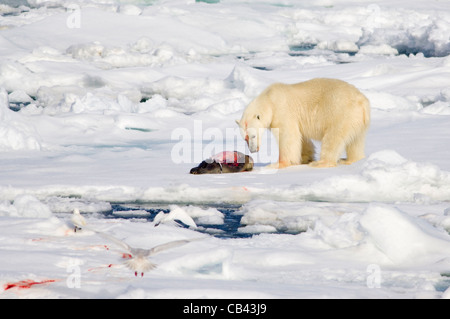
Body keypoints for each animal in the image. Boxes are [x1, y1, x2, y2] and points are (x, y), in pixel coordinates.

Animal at [236, 78, 370, 169]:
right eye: (245, 138)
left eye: (253, 136)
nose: (253, 150)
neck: (269, 99)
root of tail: (363, 103)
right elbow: (301, 138)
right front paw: (305, 157)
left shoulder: (282, 111)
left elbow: (289, 136)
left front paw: (278, 164)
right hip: (356, 120)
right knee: (356, 141)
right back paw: (349, 160)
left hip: (341, 114)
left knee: (333, 138)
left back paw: (321, 162)